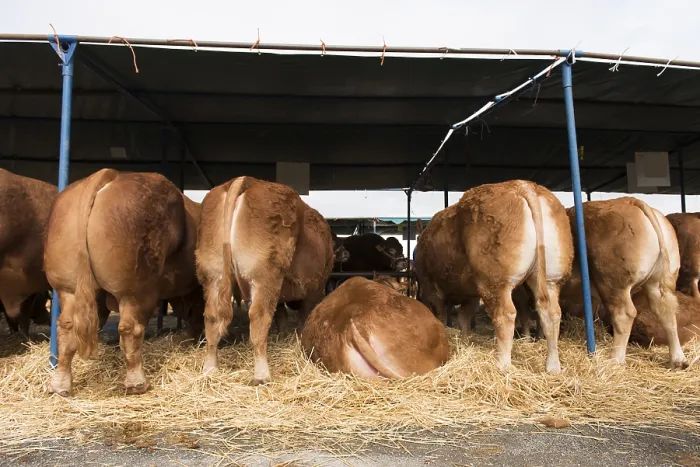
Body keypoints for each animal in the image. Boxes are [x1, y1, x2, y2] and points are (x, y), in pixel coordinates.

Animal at [45, 169, 204, 396]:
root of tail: (109, 175)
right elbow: (196, 315)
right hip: (136, 290)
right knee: (131, 329)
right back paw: (137, 383)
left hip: (68, 288)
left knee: (67, 326)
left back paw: (60, 384)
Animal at [195, 176, 334, 384]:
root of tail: (245, 180)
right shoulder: (315, 287)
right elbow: (303, 317)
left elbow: (281, 315)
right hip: (265, 275)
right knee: (259, 316)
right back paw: (261, 375)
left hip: (213, 274)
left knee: (212, 317)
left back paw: (210, 369)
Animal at [415, 180, 574, 373]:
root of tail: (524, 185)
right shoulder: (471, 294)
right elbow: (464, 318)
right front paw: (465, 340)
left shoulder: (430, 286)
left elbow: (442, 315)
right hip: (552, 278)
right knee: (551, 312)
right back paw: (553, 366)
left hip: (495, 281)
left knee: (505, 314)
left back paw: (503, 365)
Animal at [559, 197, 688, 369]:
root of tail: (629, 200)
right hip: (659, 281)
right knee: (666, 311)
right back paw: (678, 360)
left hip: (612, 282)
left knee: (624, 314)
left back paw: (615, 359)